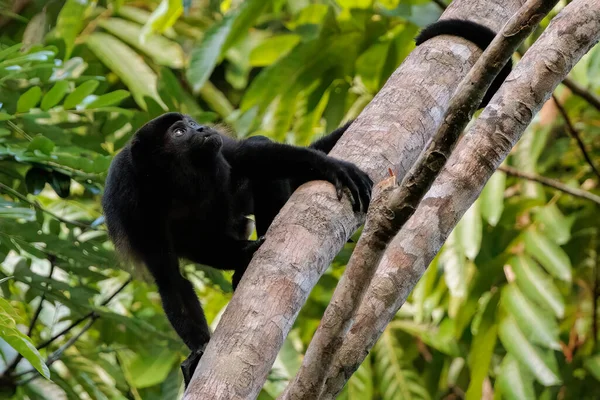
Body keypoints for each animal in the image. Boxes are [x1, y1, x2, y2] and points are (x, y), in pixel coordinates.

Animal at [101, 114, 372, 386]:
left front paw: (332, 167)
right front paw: (199, 349)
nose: (202, 128)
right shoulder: (132, 205)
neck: (172, 177)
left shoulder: (220, 149)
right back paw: (244, 257)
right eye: (179, 132)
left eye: (192, 123)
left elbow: (251, 154)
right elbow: (169, 279)